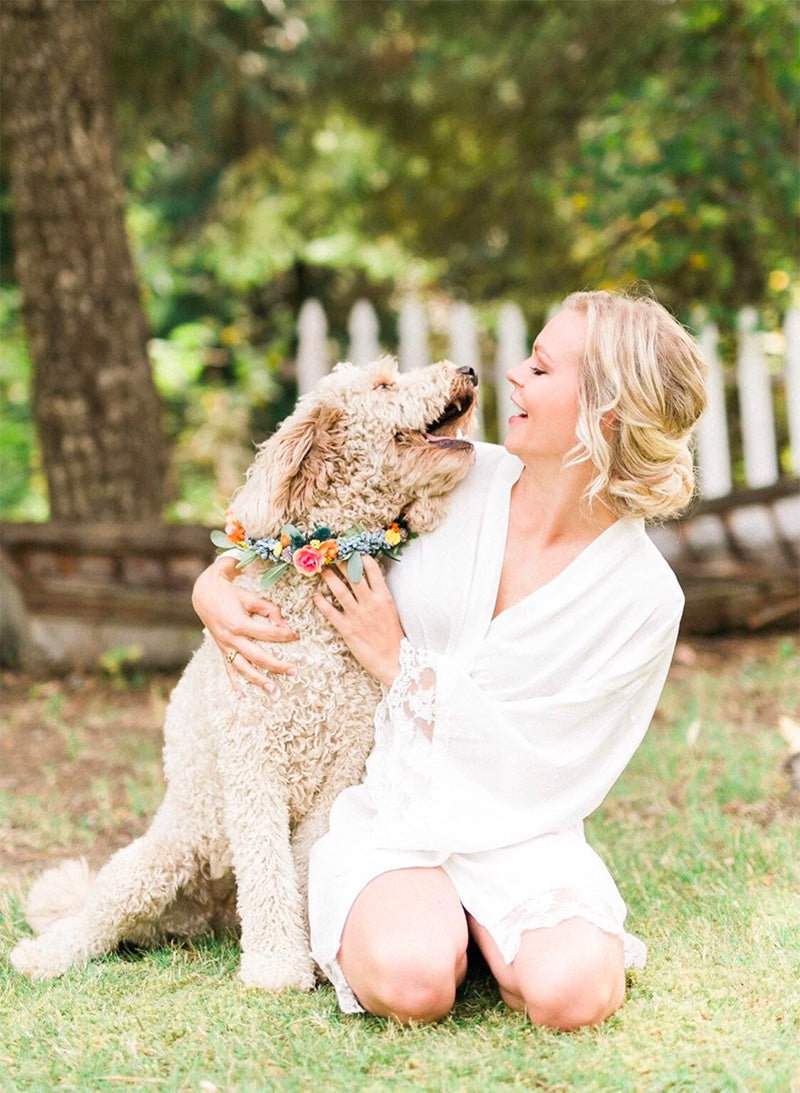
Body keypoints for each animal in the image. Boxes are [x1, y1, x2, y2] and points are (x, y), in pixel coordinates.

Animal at [10, 356, 474, 992]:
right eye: (383, 384)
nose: (468, 369)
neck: (313, 589)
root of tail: (203, 910)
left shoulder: (340, 771)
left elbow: (297, 867)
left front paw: (309, 955)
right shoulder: (255, 760)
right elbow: (266, 862)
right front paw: (277, 965)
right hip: (156, 861)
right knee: (96, 916)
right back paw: (46, 954)